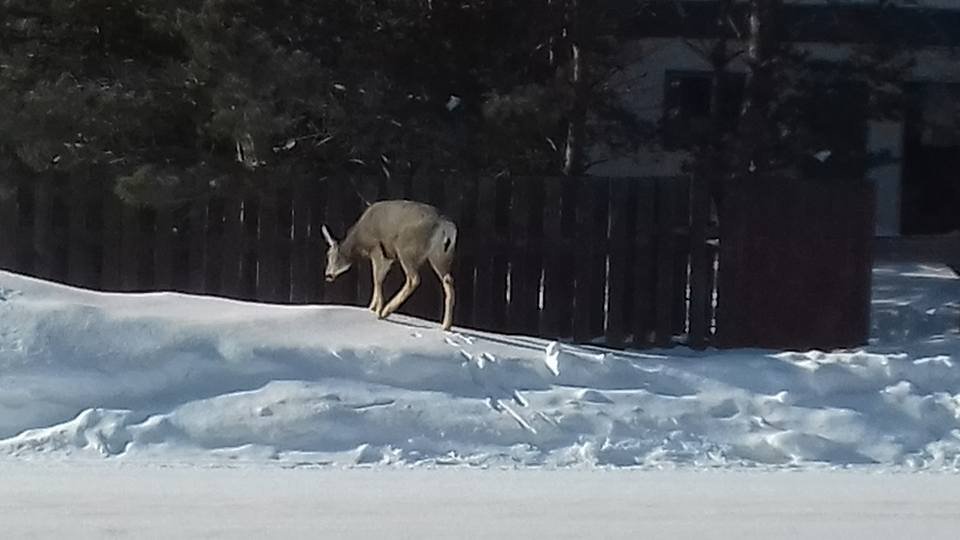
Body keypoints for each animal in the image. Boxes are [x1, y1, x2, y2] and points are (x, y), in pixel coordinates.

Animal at [322, 200, 458, 332]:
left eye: (331, 256)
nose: (328, 275)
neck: (359, 239)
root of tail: (445, 225)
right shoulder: (389, 258)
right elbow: (380, 278)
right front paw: (372, 307)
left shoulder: (376, 247)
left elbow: (376, 279)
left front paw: (377, 309)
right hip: (440, 256)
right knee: (448, 280)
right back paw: (446, 326)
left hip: (406, 249)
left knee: (414, 279)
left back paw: (385, 312)